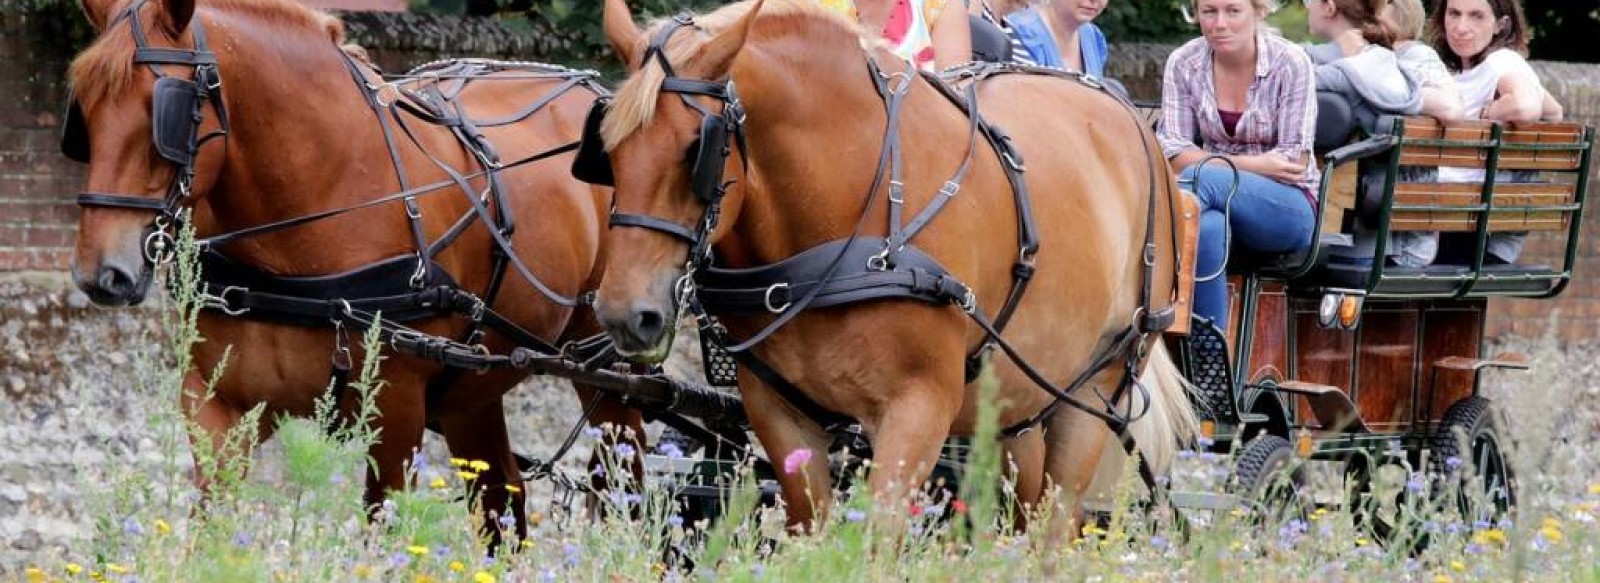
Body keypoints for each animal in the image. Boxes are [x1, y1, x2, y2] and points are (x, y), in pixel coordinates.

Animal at [64, 0, 636, 538]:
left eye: (164, 107)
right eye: (83, 112)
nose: (101, 273)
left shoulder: (395, 413)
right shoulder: (217, 406)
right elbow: (210, 531)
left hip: (609, 373)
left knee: (627, 490)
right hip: (470, 390)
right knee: (503, 502)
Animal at [601, 0, 1203, 531]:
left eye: (694, 151)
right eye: (605, 149)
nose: (626, 315)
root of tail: (1130, 118)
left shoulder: (918, 409)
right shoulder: (780, 412)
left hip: (1095, 388)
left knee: (1055, 527)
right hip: (1017, 402)